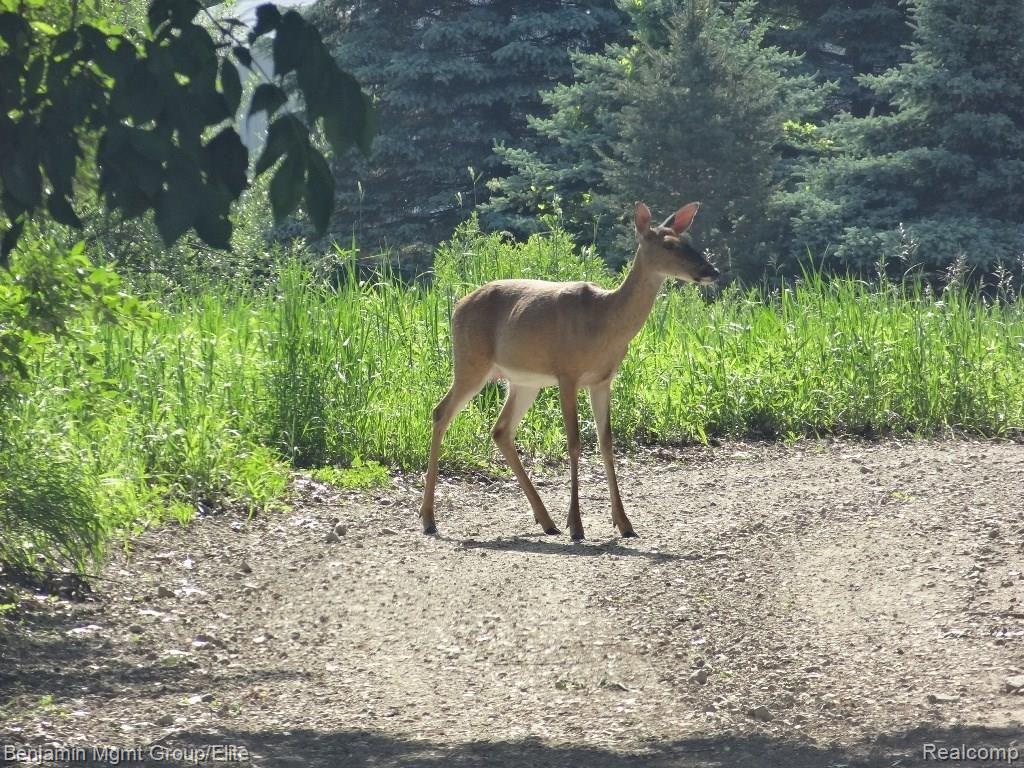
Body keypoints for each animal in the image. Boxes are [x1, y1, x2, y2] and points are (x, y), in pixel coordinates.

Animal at [419, 201, 719, 540]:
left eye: (689, 240)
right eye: (668, 245)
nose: (712, 271)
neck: (604, 321)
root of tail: (457, 305)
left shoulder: (602, 380)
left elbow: (606, 442)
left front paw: (624, 523)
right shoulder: (567, 373)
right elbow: (574, 443)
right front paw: (576, 524)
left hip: (524, 381)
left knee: (500, 429)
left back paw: (546, 520)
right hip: (470, 361)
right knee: (441, 412)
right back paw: (429, 518)